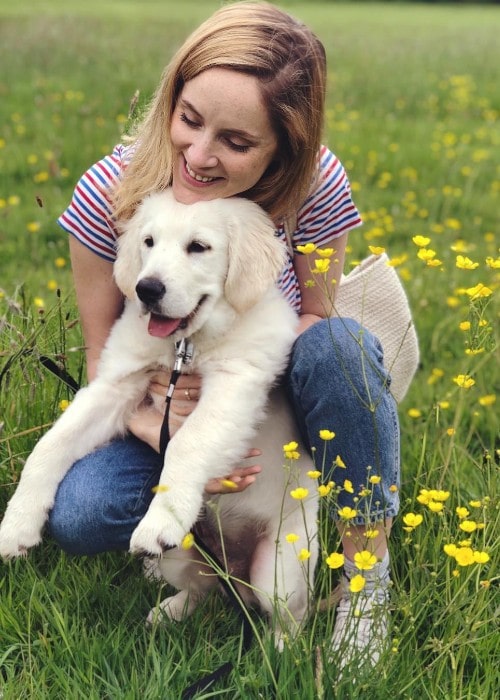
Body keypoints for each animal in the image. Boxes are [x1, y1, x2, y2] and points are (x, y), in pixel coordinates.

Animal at [0, 191, 318, 640]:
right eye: (148, 242)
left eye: (198, 247)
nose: (146, 289)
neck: (186, 346)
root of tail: (234, 568)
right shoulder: (117, 382)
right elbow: (51, 445)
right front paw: (17, 526)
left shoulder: (237, 382)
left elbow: (188, 442)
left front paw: (159, 522)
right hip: (180, 559)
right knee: (207, 590)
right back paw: (170, 611)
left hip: (280, 570)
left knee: (290, 617)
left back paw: (280, 651)